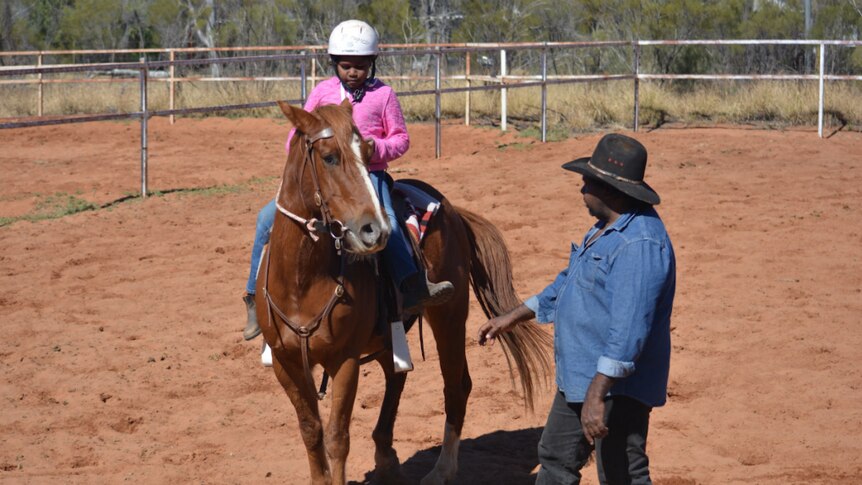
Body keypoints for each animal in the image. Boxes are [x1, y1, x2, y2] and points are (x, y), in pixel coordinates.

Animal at [258, 99, 552, 484]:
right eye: (329, 156)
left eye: (368, 153)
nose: (375, 230)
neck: (302, 283)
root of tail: (454, 211)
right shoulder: (285, 363)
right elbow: (311, 431)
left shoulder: (345, 361)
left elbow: (337, 436)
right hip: (388, 334)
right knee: (396, 378)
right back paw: (386, 456)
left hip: (449, 316)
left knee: (456, 386)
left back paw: (441, 470)